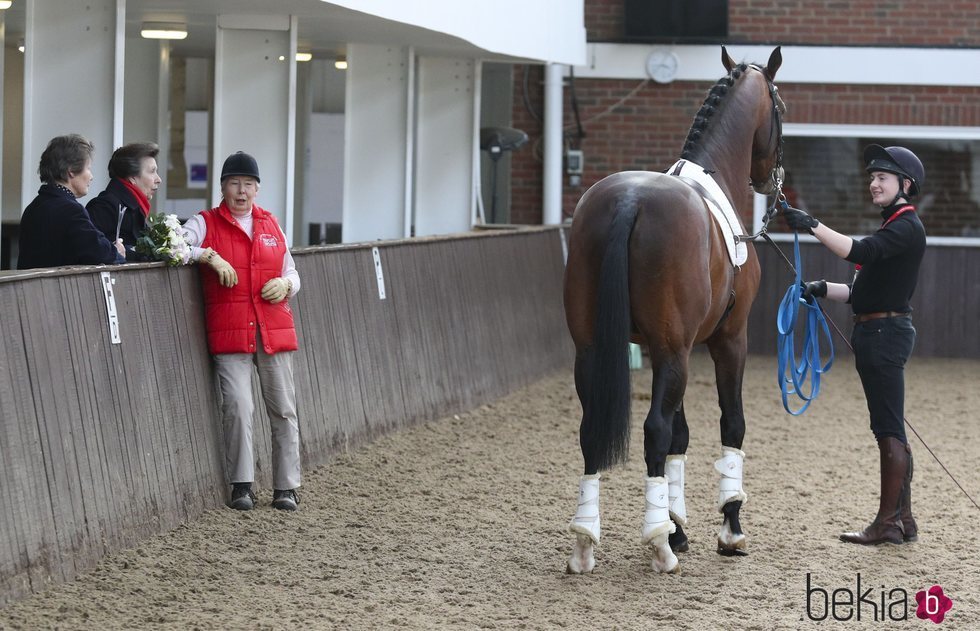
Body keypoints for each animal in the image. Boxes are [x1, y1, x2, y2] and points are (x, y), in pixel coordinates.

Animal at [564, 47, 784, 576]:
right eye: (781, 107)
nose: (771, 178)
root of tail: (630, 200)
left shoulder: (678, 349)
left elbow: (680, 438)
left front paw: (677, 527)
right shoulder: (728, 340)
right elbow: (730, 423)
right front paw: (729, 528)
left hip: (597, 350)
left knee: (593, 432)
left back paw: (585, 543)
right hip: (673, 350)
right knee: (653, 431)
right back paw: (659, 550)